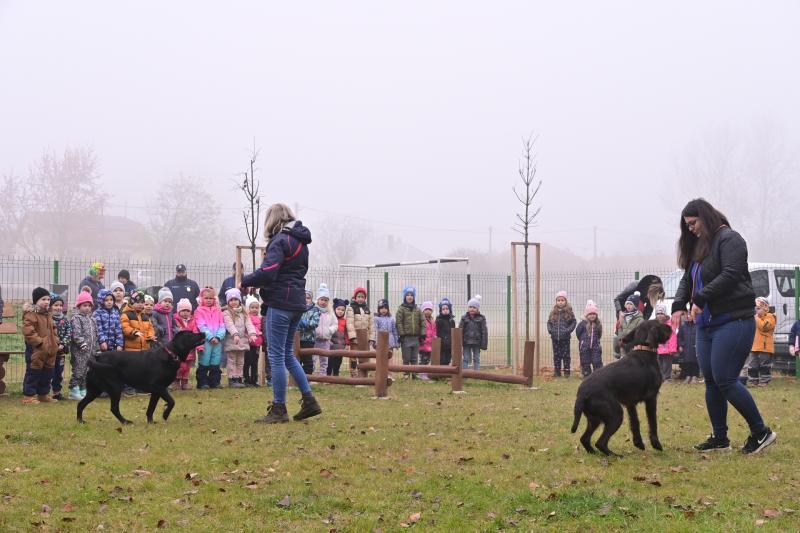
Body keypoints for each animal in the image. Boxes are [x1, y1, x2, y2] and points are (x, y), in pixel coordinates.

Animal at [77, 328, 206, 424]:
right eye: (190, 334)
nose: (203, 333)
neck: (171, 354)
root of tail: (97, 357)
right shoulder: (158, 386)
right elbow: (171, 401)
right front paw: (165, 414)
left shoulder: (156, 391)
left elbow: (151, 408)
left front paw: (151, 422)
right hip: (115, 387)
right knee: (114, 408)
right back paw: (125, 422)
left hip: (94, 390)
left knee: (81, 404)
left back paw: (80, 421)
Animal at [568, 318, 676, 456]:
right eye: (658, 323)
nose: (670, 327)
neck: (644, 351)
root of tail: (581, 394)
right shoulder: (651, 398)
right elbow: (652, 422)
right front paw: (656, 444)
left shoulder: (630, 403)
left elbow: (635, 422)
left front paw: (638, 443)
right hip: (616, 414)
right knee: (600, 442)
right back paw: (615, 455)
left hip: (595, 419)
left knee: (584, 438)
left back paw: (593, 452)